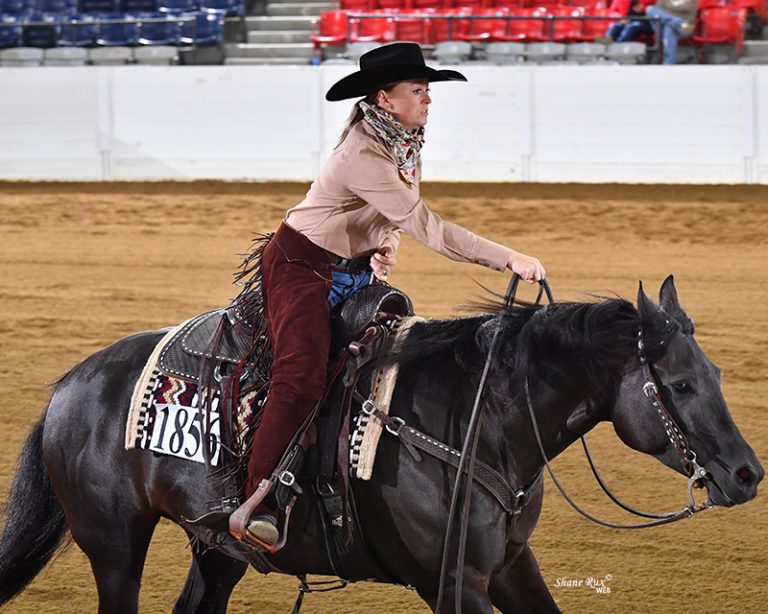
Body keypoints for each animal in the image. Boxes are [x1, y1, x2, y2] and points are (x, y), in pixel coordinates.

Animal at [0, 275, 762, 613]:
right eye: (681, 384)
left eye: (718, 374)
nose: (749, 474)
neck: (478, 422)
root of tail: (67, 386)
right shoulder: (453, 582)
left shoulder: (511, 566)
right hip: (114, 549)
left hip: (216, 551)